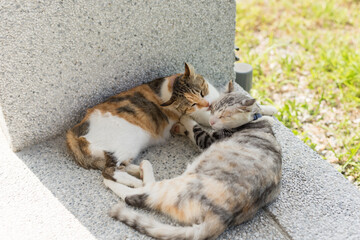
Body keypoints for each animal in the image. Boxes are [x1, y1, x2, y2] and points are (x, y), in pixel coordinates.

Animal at [66, 62, 221, 181]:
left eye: (202, 92)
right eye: (192, 104)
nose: (207, 104)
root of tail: (74, 131)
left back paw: (141, 170)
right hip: (125, 145)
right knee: (110, 172)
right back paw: (139, 183)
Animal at [104, 80, 282, 240]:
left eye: (225, 115)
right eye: (214, 108)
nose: (211, 121)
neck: (254, 120)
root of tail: (220, 219)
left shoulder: (207, 139)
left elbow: (194, 125)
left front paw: (184, 117)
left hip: (178, 185)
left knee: (138, 193)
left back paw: (134, 171)